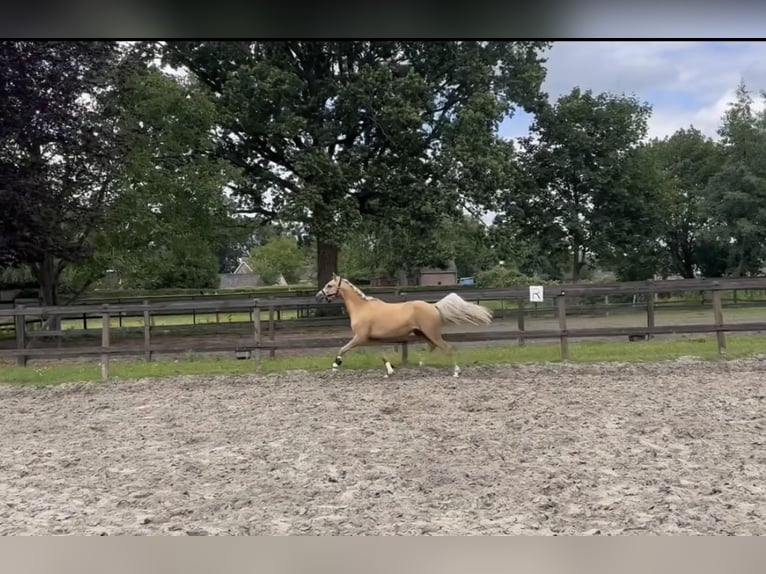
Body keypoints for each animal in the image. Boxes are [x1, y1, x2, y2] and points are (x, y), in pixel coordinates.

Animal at [316, 274, 492, 378]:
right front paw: (389, 370)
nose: (318, 296)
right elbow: (382, 354)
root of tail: (434, 305)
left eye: (329, 285)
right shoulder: (371, 339)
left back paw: (456, 372)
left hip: (431, 332)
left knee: (446, 347)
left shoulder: (359, 338)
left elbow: (342, 349)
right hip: (422, 333)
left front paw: (335, 366)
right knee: (433, 346)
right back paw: (421, 364)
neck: (362, 308)